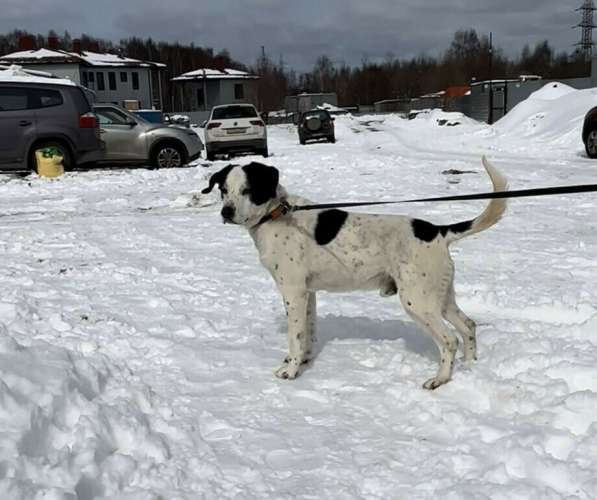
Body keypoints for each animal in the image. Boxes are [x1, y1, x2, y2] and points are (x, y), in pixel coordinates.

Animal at [203, 158, 506, 388]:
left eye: (248, 190)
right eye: (223, 189)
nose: (226, 212)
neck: (276, 215)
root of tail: (439, 232)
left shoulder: (293, 292)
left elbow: (295, 336)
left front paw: (290, 371)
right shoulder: (308, 294)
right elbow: (308, 334)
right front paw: (304, 362)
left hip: (418, 302)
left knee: (449, 340)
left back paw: (440, 379)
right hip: (440, 299)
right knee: (468, 326)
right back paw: (469, 365)